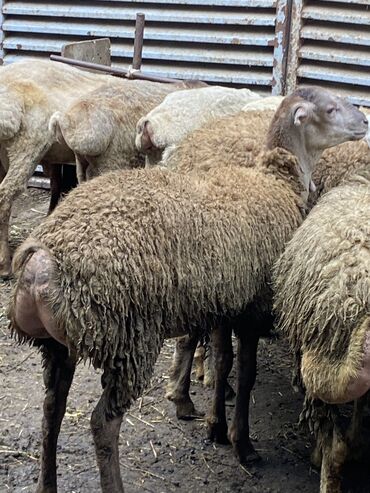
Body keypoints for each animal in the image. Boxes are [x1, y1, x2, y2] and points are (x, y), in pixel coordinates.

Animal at [6, 86, 368, 490]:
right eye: (331, 108)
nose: (364, 122)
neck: (274, 183)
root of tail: (42, 256)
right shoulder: (253, 307)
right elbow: (246, 374)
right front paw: (242, 444)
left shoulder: (224, 302)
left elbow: (223, 362)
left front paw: (216, 425)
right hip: (126, 338)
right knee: (103, 422)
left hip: (59, 344)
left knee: (51, 410)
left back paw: (46, 482)